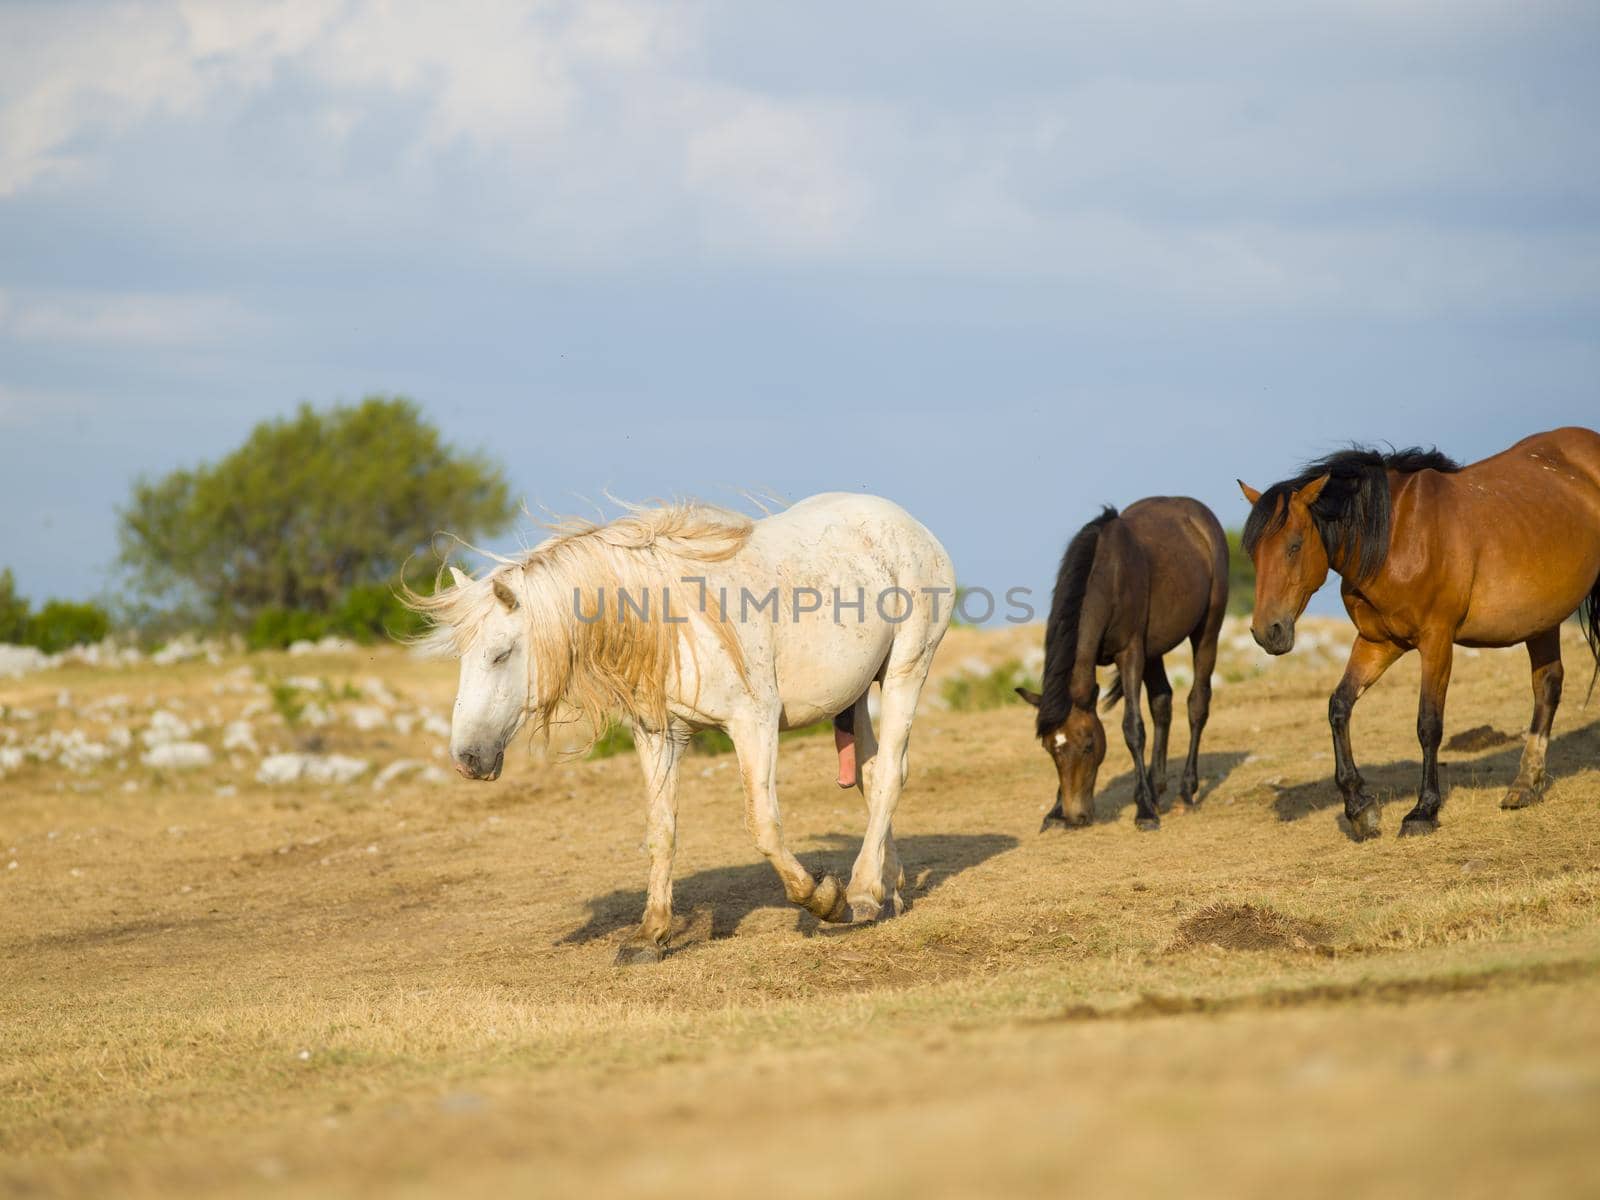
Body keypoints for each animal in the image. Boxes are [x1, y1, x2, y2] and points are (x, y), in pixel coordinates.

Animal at [419, 492, 953, 966]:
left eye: (501, 653)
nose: (467, 758)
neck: (675, 622)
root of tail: (911, 526)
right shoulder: (659, 736)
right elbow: (662, 832)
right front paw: (648, 936)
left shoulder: (754, 724)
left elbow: (763, 825)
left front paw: (823, 899)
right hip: (858, 692)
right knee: (870, 773)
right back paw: (887, 889)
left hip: (907, 671)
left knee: (889, 774)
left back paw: (859, 893)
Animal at [1017, 502, 1228, 832]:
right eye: (1050, 749)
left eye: (1089, 745)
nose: (1076, 816)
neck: (1108, 577)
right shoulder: (1136, 651)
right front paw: (1055, 811)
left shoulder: (1130, 653)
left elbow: (1133, 727)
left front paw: (1145, 811)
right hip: (1154, 650)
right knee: (1162, 703)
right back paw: (1156, 788)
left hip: (1207, 630)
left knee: (1197, 704)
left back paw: (1185, 792)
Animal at [1241, 428, 1600, 838]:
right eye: (1254, 553)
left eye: (1295, 545)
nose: (1267, 632)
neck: (1394, 538)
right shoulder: (1378, 643)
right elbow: (1339, 707)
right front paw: (1359, 807)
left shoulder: (1436, 641)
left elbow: (1428, 724)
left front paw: (1423, 811)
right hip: (1541, 620)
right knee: (1547, 685)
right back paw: (1524, 786)